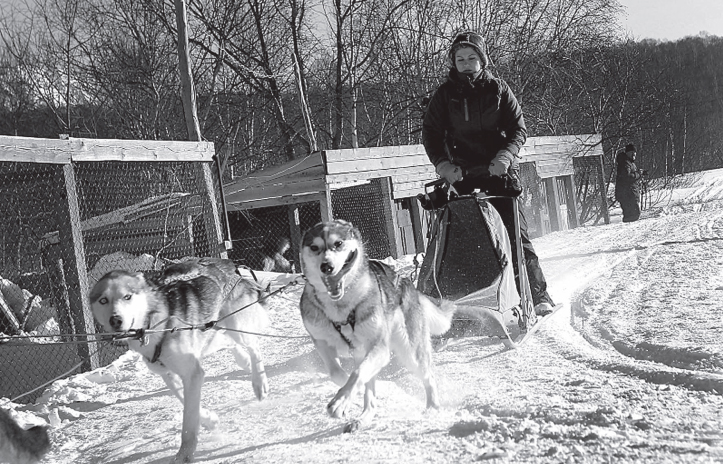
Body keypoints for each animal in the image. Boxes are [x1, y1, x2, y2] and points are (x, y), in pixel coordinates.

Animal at [90, 258, 270, 464]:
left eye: (127, 296)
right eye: (103, 300)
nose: (116, 320)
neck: (155, 323)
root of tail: (227, 265)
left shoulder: (192, 373)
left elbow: (189, 421)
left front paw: (185, 454)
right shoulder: (169, 374)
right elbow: (185, 399)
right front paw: (209, 419)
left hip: (236, 325)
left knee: (253, 347)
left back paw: (259, 382)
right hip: (212, 328)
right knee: (228, 342)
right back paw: (243, 361)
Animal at [298, 220, 452, 432]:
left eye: (338, 243)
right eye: (314, 247)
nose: (326, 266)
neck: (341, 307)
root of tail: (406, 282)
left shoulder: (378, 347)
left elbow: (357, 374)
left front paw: (340, 402)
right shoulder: (321, 341)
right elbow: (337, 373)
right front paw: (347, 394)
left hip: (409, 351)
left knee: (428, 377)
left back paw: (432, 407)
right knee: (369, 391)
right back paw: (363, 418)